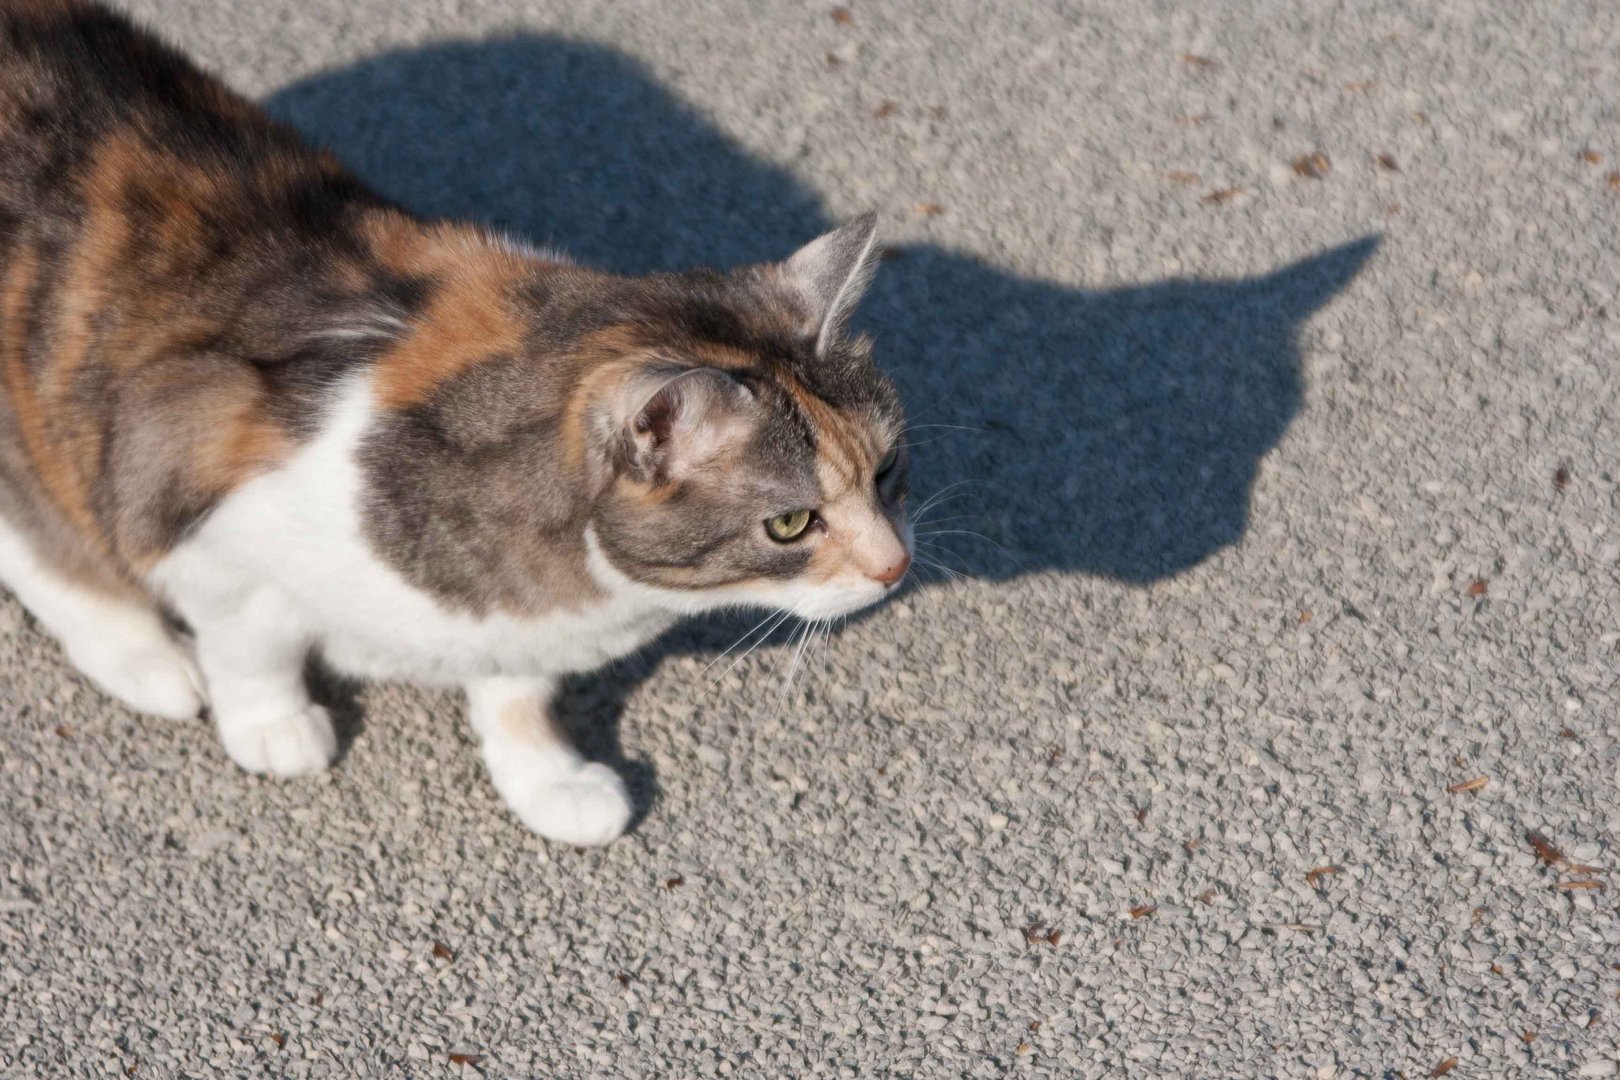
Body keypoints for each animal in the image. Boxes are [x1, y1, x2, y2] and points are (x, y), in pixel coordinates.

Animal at [0, 0, 913, 841]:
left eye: (887, 472)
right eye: (791, 523)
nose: (896, 567)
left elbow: (516, 689)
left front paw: (546, 776)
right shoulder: (198, 493)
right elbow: (249, 646)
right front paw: (270, 720)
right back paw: (149, 659)